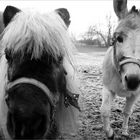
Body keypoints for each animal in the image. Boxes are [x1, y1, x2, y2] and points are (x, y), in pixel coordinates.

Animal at [100, 0, 140, 138]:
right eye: (119, 38)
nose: (133, 81)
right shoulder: (108, 88)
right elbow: (105, 110)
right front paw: (110, 133)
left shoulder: (135, 94)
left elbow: (127, 112)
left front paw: (124, 131)